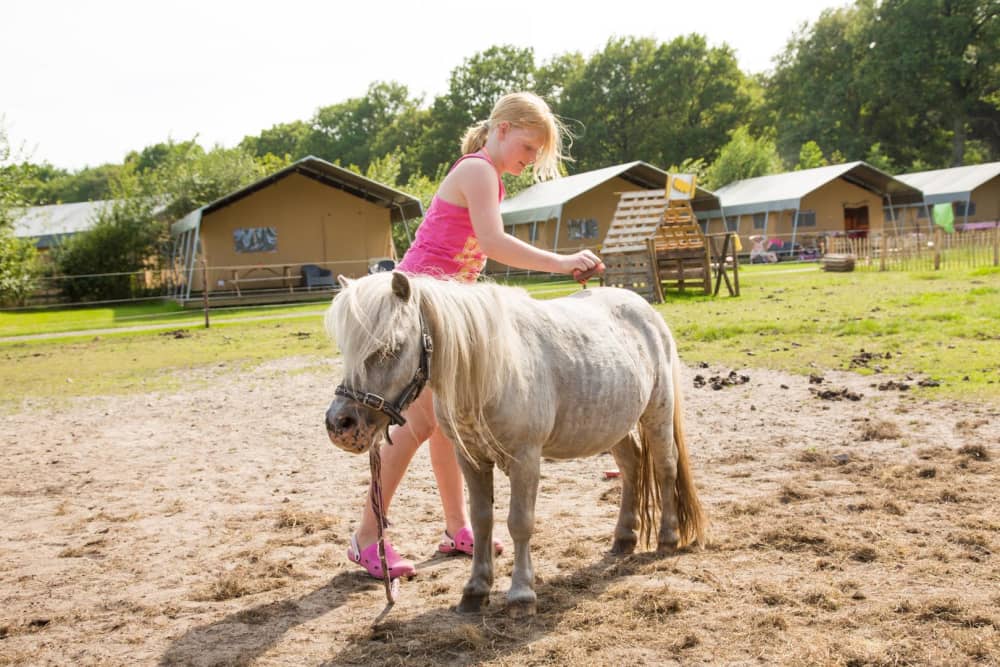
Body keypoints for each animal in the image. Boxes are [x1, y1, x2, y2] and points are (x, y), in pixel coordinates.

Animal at [324, 272, 708, 616]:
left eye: (390, 347)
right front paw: (476, 590)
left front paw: (522, 594)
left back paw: (668, 537)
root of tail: (644, 309)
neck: (488, 372)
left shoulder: (526, 459)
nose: (339, 424)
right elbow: (482, 521)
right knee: (631, 466)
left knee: (665, 466)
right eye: (346, 349)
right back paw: (624, 537)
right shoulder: (471, 459)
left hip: (658, 413)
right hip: (613, 425)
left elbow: (519, 522)